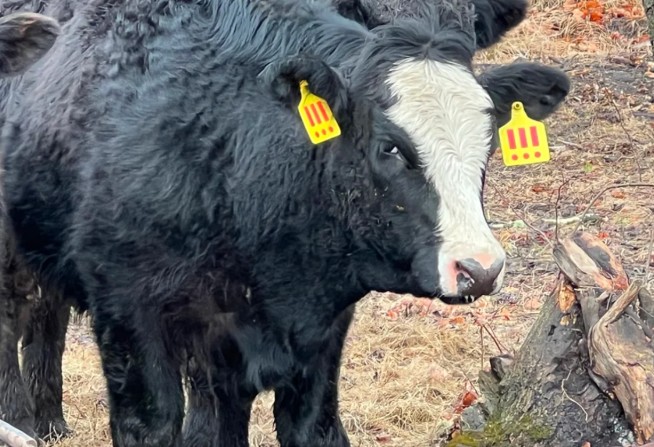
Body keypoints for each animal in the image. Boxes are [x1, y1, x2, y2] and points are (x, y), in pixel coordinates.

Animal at [0, 1, 571, 446]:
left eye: (489, 138)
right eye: (390, 147)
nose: (480, 267)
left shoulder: (308, 336)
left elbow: (307, 428)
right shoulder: (130, 317)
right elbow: (155, 426)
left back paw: (50, 422)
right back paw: (24, 420)